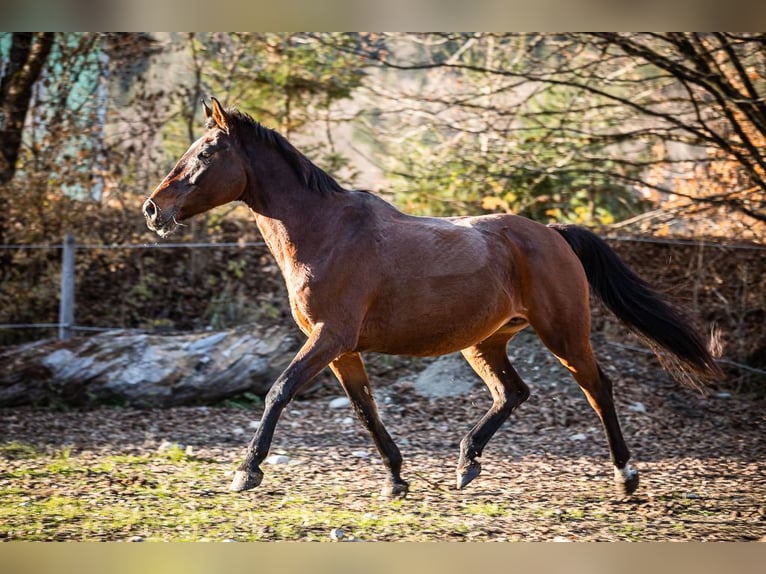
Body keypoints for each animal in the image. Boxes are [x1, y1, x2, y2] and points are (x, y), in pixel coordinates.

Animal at [142, 99, 720, 500]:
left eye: (206, 153)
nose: (152, 209)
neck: (324, 233)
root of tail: (553, 235)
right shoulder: (341, 350)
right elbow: (365, 410)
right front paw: (396, 480)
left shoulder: (329, 338)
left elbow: (278, 392)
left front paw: (247, 471)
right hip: (484, 342)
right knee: (513, 392)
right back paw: (466, 464)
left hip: (563, 333)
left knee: (598, 388)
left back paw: (626, 475)